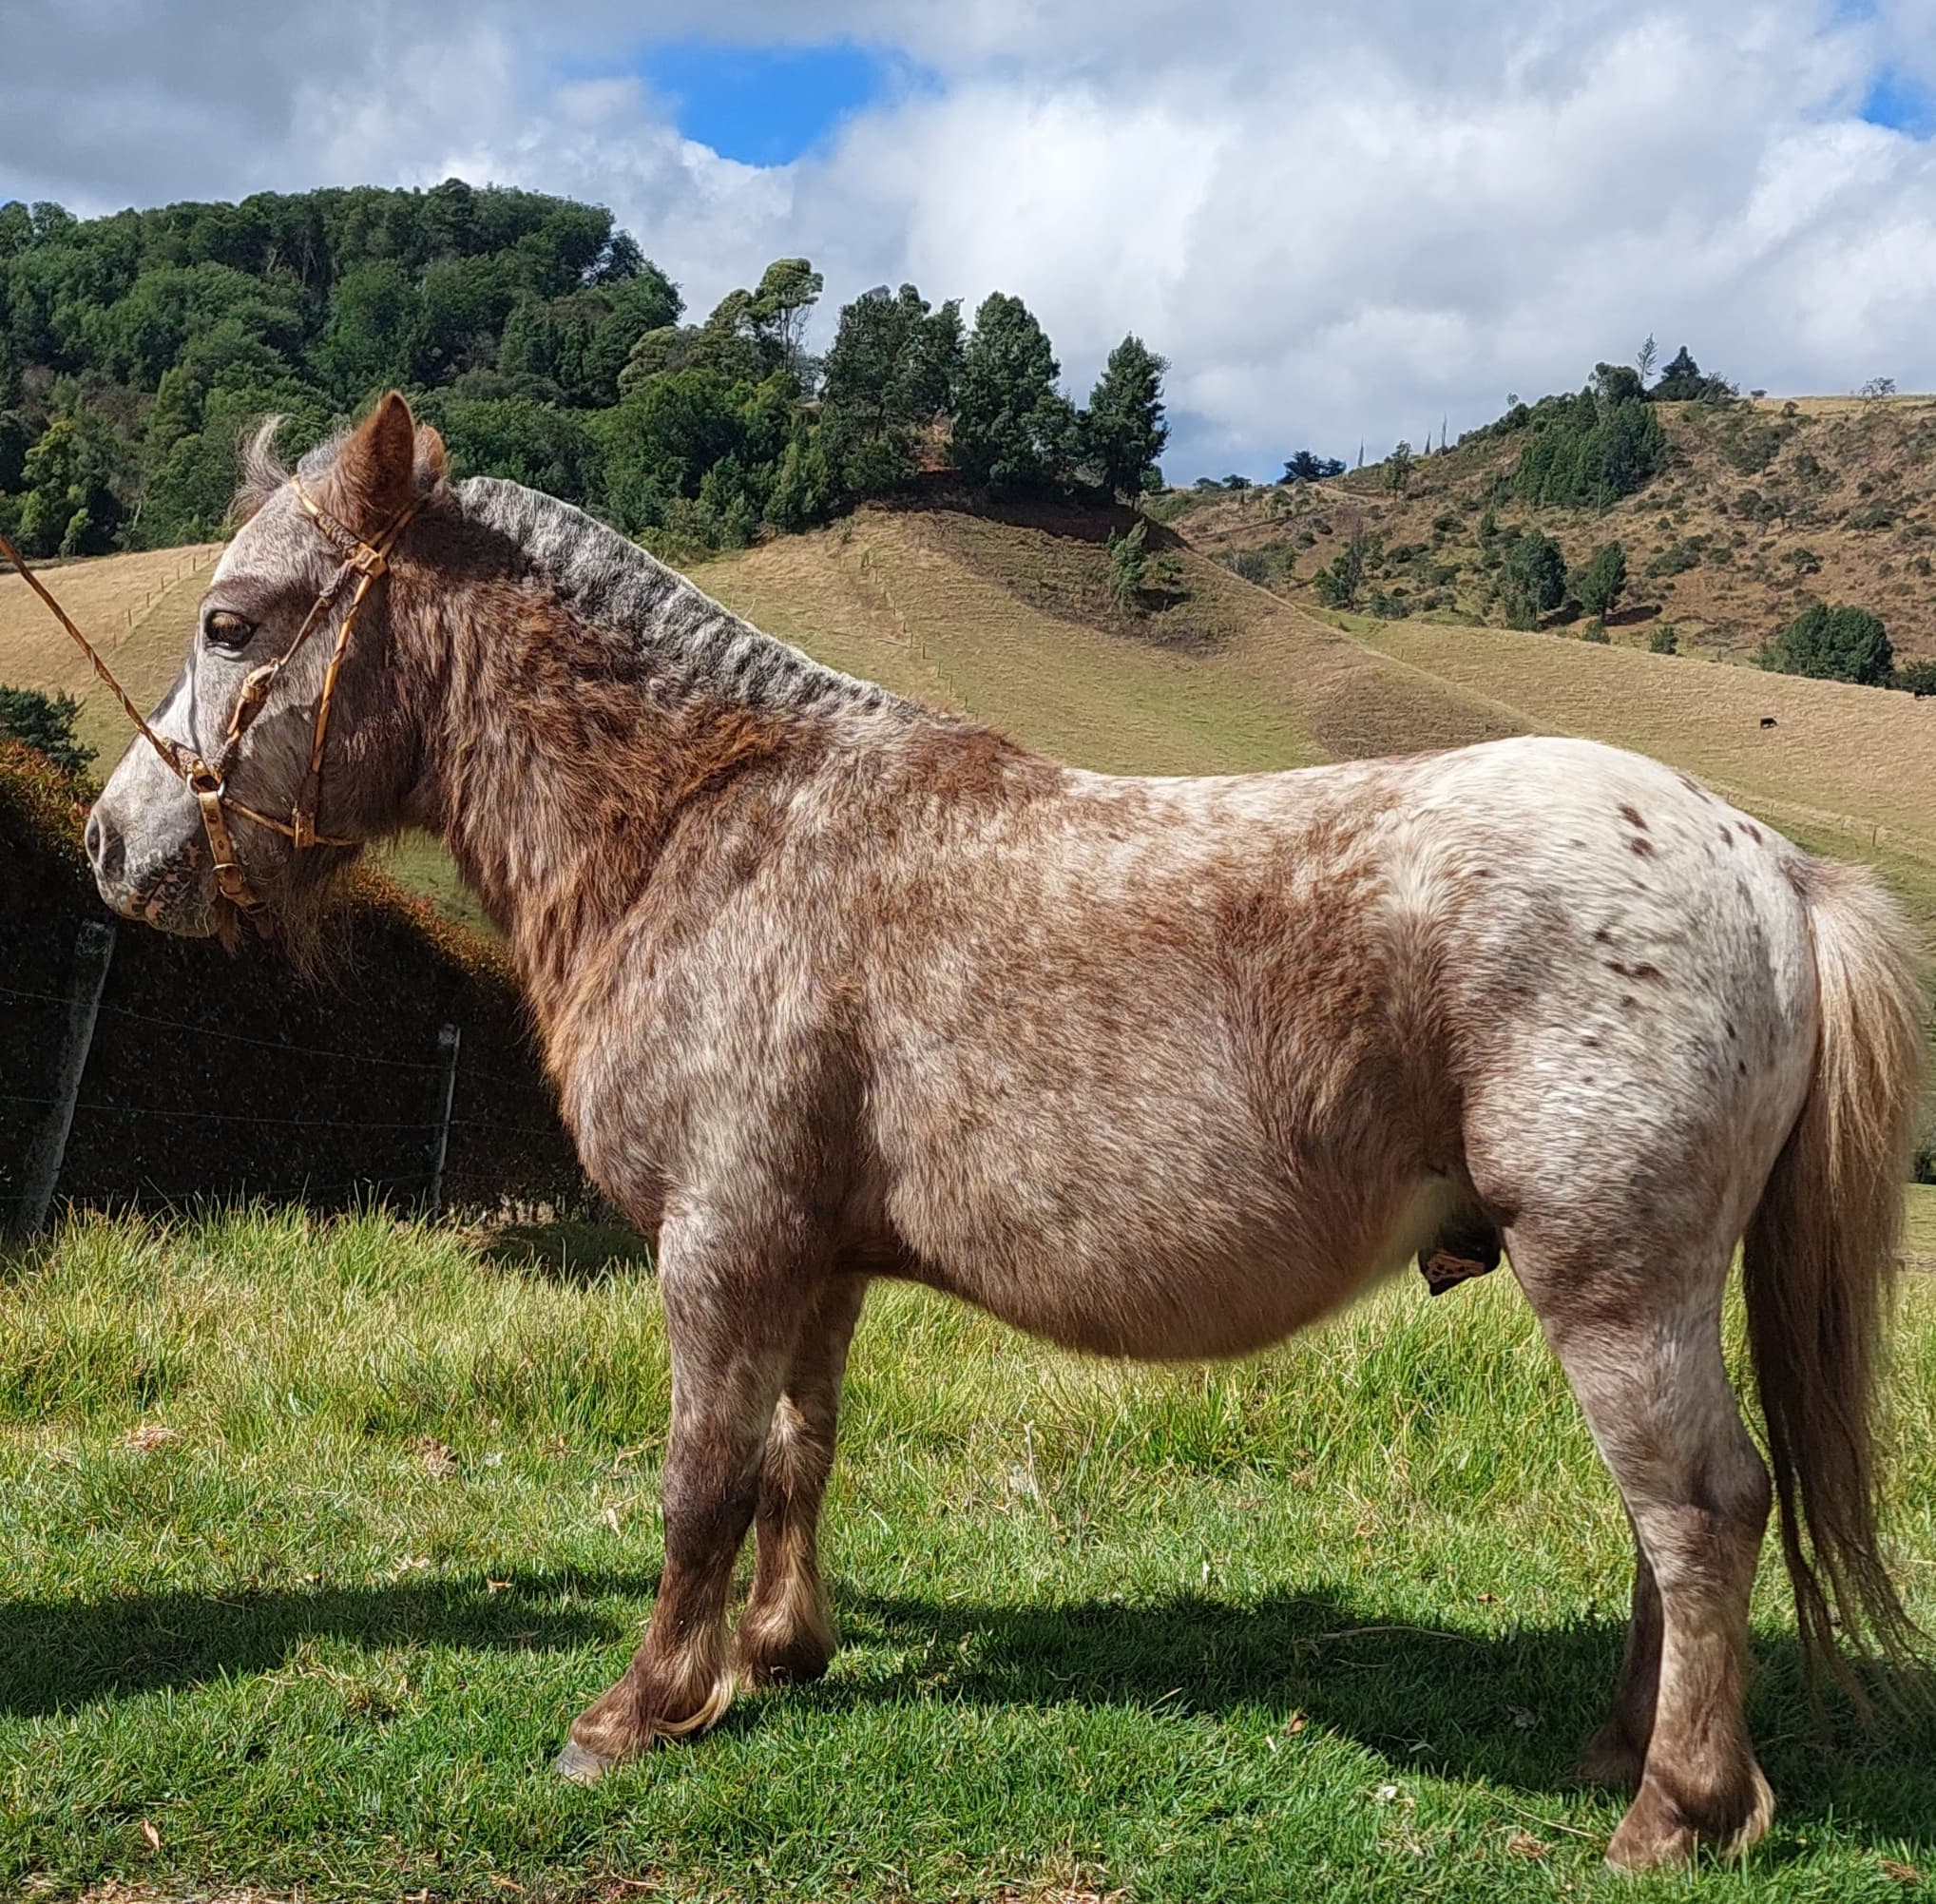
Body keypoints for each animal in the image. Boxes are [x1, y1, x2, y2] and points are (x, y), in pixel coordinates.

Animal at [85, 394, 1924, 1871]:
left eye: (234, 621)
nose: (113, 840)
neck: (717, 826)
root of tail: (1762, 861)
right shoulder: (811, 1255)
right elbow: (794, 1454)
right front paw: (776, 1651)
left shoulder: (718, 1243)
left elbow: (696, 1476)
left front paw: (640, 1703)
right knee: (1662, 1520)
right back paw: (1627, 1750)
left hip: (1611, 1280)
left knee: (1698, 1507)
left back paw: (1675, 1805)